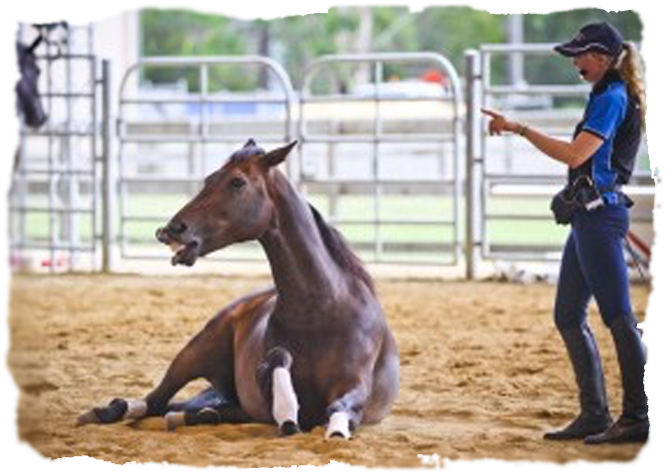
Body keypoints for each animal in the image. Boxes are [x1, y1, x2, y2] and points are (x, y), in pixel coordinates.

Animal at [77, 140, 400, 439]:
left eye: (237, 182)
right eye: (209, 179)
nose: (170, 230)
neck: (322, 311)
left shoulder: (354, 385)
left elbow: (339, 410)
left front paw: (333, 429)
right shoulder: (263, 389)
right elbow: (278, 366)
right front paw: (288, 412)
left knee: (189, 409)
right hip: (194, 352)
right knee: (155, 401)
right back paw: (104, 412)